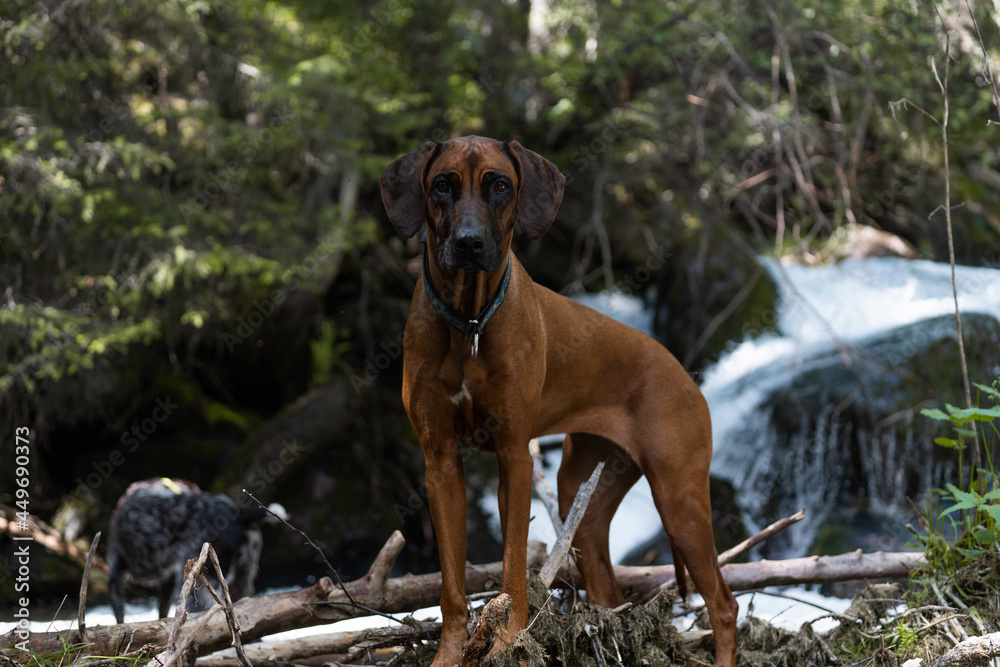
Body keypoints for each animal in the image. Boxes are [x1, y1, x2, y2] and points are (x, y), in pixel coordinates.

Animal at [108, 478, 270, 624]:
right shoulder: (167, 582)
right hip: (241, 583)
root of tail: (239, 514)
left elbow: (120, 619)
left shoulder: (114, 571)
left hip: (195, 587)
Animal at [380, 137, 736, 667]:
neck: (470, 323)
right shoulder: (439, 463)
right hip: (581, 496)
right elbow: (451, 586)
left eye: (500, 186)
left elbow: (512, 567)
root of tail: (685, 375)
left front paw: (508, 641)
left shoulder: (514, 457)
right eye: (442, 184)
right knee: (609, 594)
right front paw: (451, 653)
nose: (468, 243)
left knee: (724, 605)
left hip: (679, 497)